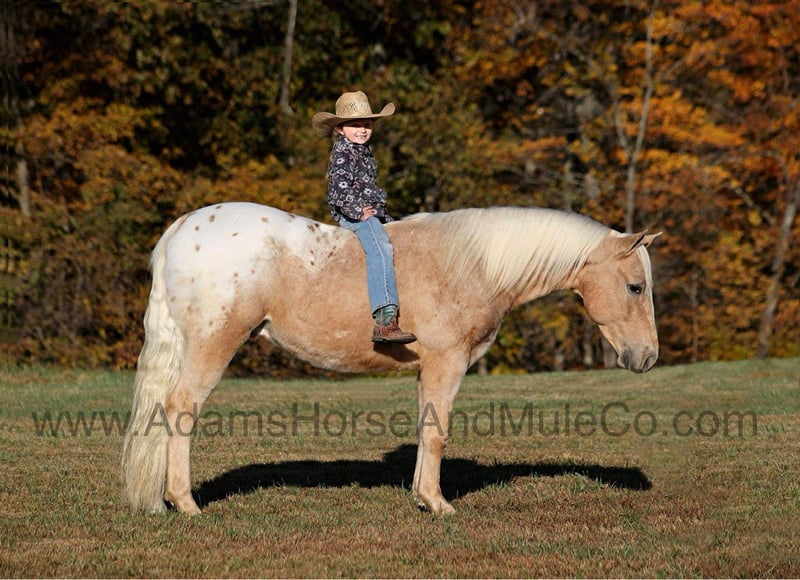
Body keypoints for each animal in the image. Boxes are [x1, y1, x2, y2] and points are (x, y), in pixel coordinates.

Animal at [122, 202, 661, 515]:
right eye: (636, 287)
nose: (648, 357)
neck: (473, 264)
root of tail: (183, 229)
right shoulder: (448, 363)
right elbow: (438, 431)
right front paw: (439, 504)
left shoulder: (430, 370)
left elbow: (426, 428)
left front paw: (424, 496)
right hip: (214, 344)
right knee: (181, 410)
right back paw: (185, 503)